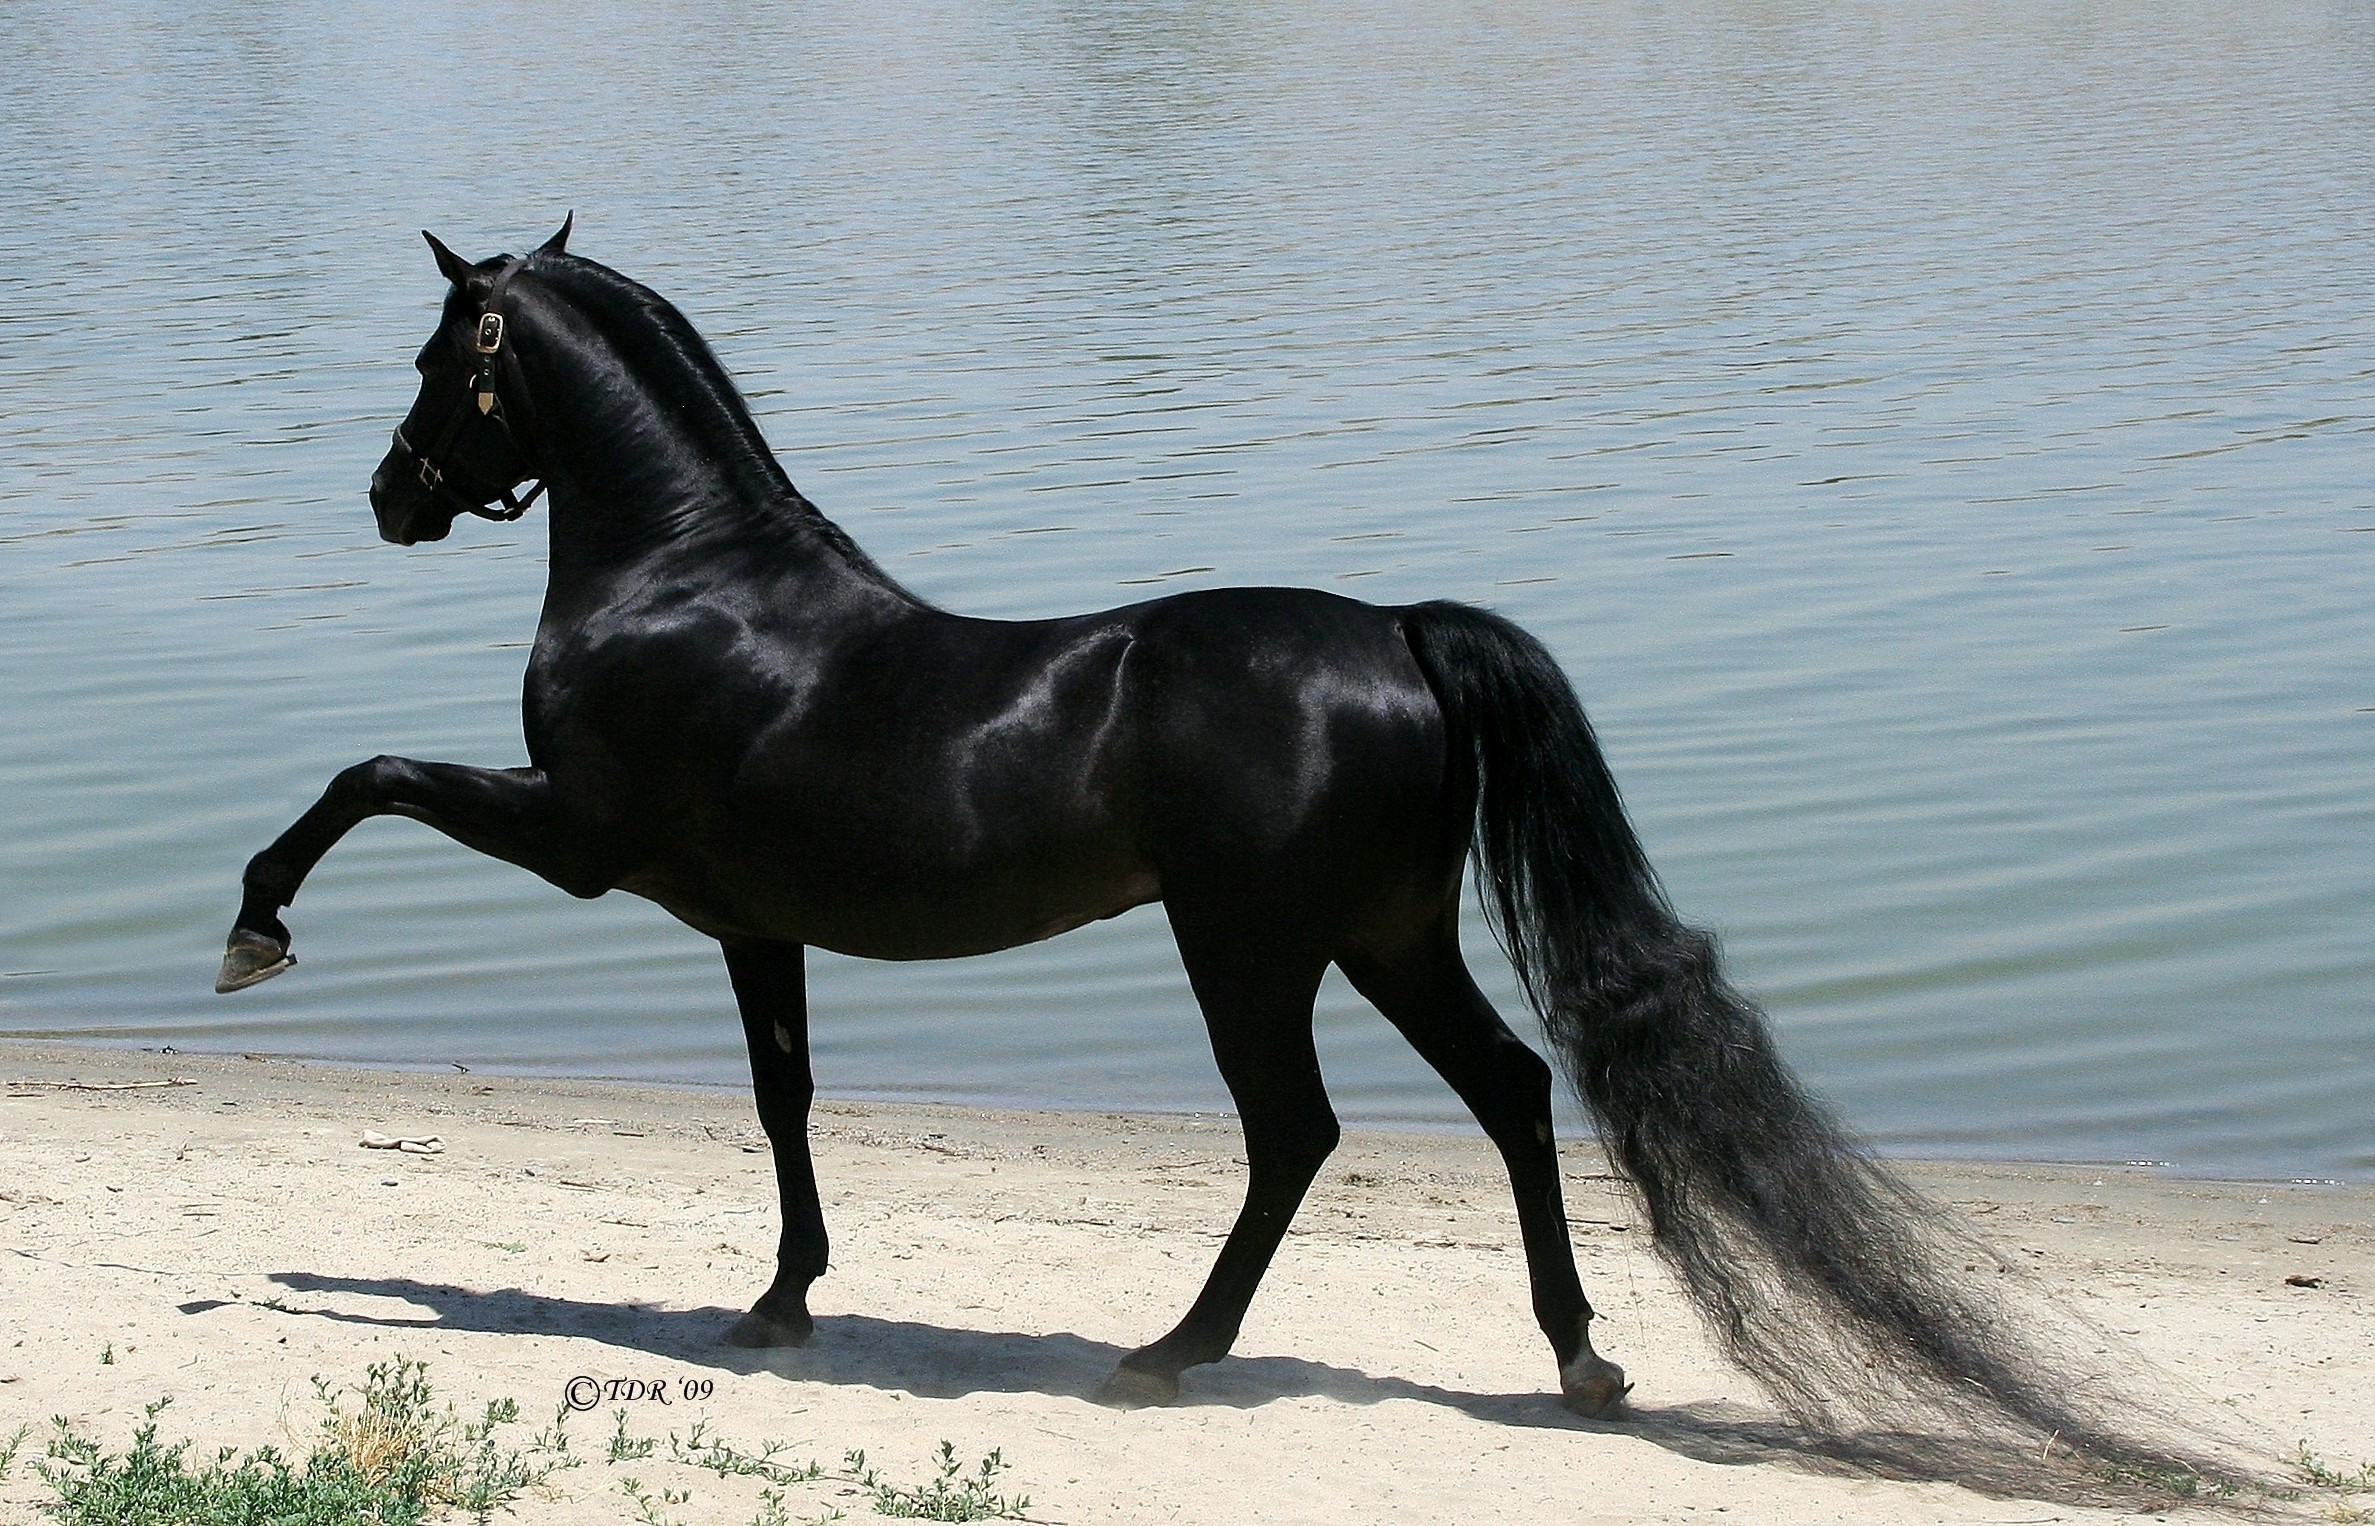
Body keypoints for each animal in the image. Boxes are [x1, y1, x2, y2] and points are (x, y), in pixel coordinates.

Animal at [215, 220, 2130, 1444]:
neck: (689, 578)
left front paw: (254, 929)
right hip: (1384, 936)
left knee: (1297, 1134)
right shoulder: (751, 921)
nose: (388, 496)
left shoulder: (581, 837)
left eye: (435, 359)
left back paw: (1172, 1348)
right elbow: (783, 1100)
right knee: (1511, 1093)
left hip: (1253, 949)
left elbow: (366, 775)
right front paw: (784, 1299)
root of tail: (1399, 633)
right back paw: (1577, 1361)